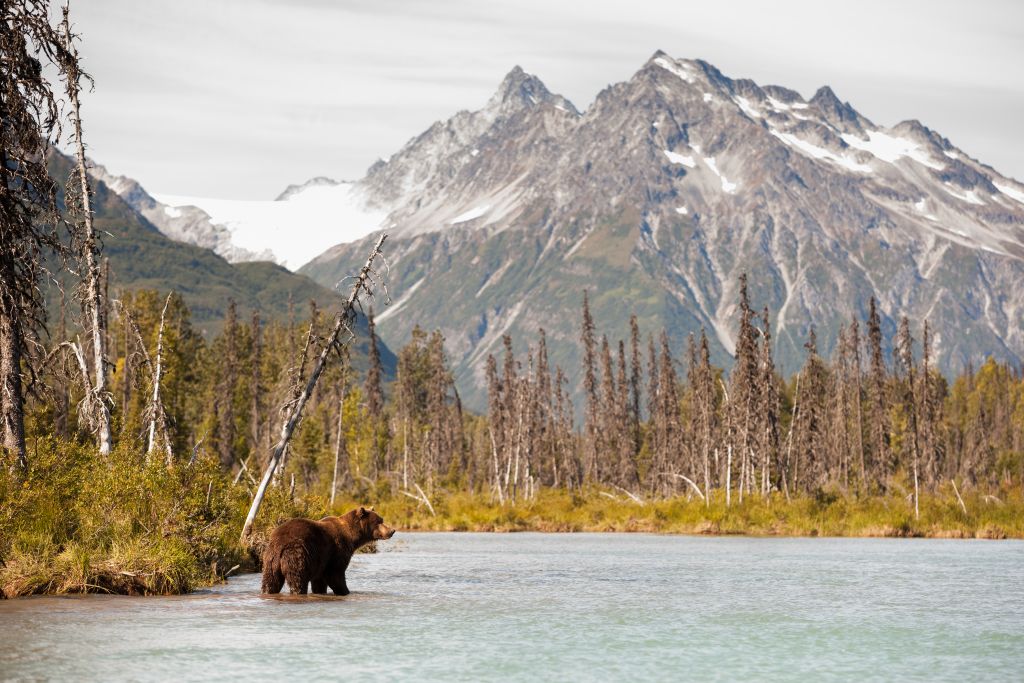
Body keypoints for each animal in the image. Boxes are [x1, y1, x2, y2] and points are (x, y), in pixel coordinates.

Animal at [262, 505, 393, 593]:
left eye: (382, 520)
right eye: (379, 521)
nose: (392, 531)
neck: (352, 536)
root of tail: (280, 543)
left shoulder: (320, 561)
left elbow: (319, 582)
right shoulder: (337, 550)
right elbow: (335, 574)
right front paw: (345, 591)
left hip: (270, 559)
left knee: (271, 581)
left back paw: (267, 591)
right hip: (297, 553)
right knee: (297, 580)